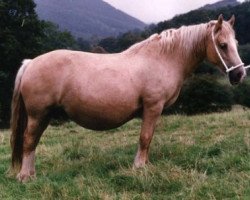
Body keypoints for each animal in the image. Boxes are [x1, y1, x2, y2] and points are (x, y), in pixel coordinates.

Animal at [10, 14, 246, 182]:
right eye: (222, 45)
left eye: (235, 42)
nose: (239, 74)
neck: (163, 58)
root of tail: (30, 63)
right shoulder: (153, 107)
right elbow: (145, 138)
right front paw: (139, 167)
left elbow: (148, 139)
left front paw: (145, 165)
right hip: (38, 114)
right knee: (29, 140)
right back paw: (25, 177)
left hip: (44, 115)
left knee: (33, 142)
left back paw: (30, 174)